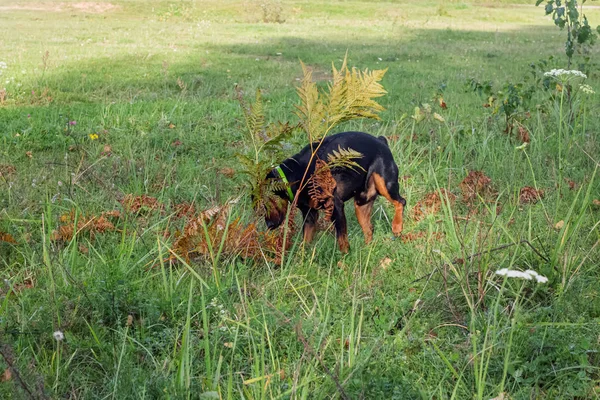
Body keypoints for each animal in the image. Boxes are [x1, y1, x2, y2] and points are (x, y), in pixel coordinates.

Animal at [264, 131, 406, 252]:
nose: (269, 225)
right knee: (369, 229)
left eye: (267, 203)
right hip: (361, 203)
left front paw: (344, 259)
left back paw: (397, 227)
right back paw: (366, 250)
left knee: (401, 201)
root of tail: (381, 140)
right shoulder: (310, 215)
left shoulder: (336, 206)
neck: (298, 173)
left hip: (384, 184)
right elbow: (305, 241)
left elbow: (342, 240)